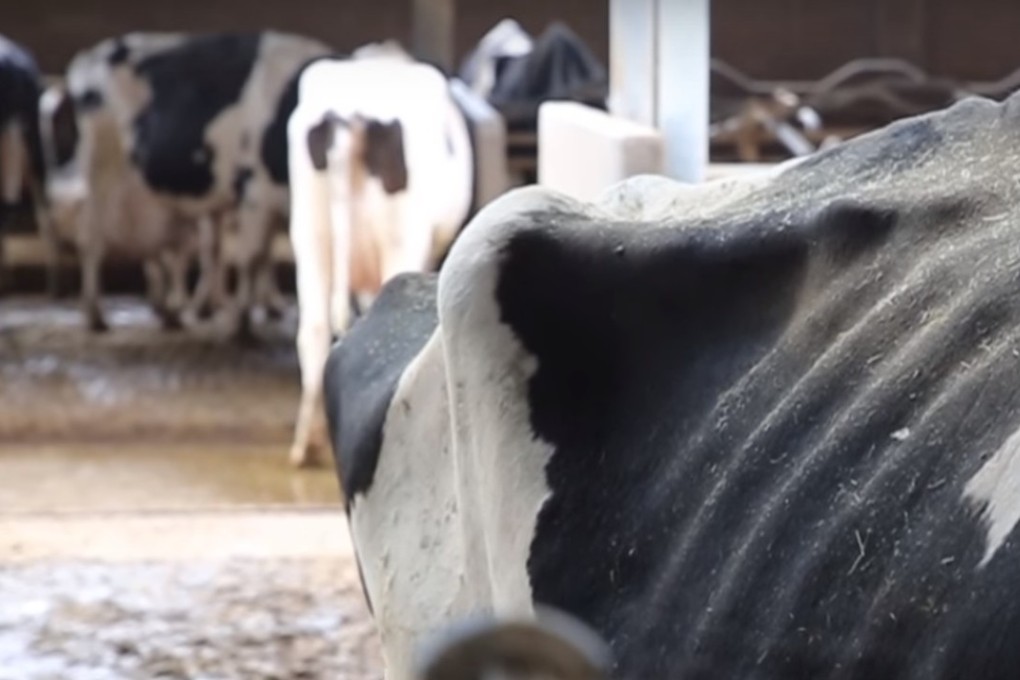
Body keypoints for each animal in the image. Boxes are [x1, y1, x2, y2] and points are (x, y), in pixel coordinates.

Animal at [49, 30, 332, 332]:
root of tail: (91, 55)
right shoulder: (255, 188)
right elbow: (251, 257)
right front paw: (240, 322)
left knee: (156, 248)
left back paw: (168, 312)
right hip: (101, 168)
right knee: (92, 239)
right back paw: (97, 315)